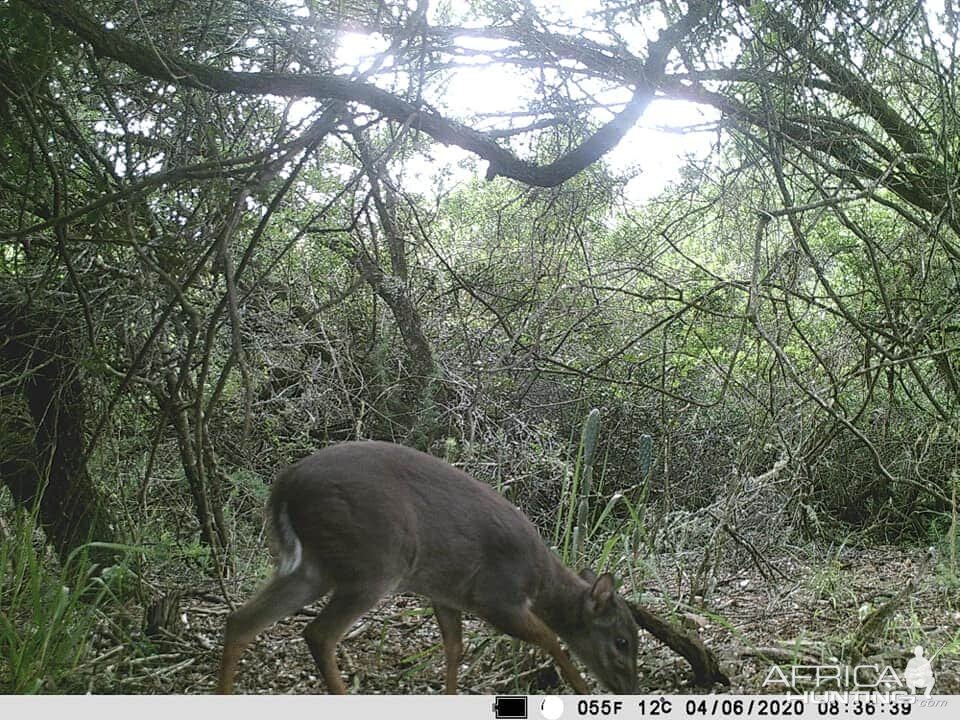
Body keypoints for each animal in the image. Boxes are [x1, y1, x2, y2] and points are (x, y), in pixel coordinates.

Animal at [218, 438, 636, 692]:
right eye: (622, 640)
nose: (629, 688)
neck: (541, 580)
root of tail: (284, 486)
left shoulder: (448, 595)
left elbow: (455, 648)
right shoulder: (497, 596)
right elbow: (550, 637)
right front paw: (582, 689)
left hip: (314, 567)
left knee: (241, 620)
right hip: (373, 563)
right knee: (318, 634)